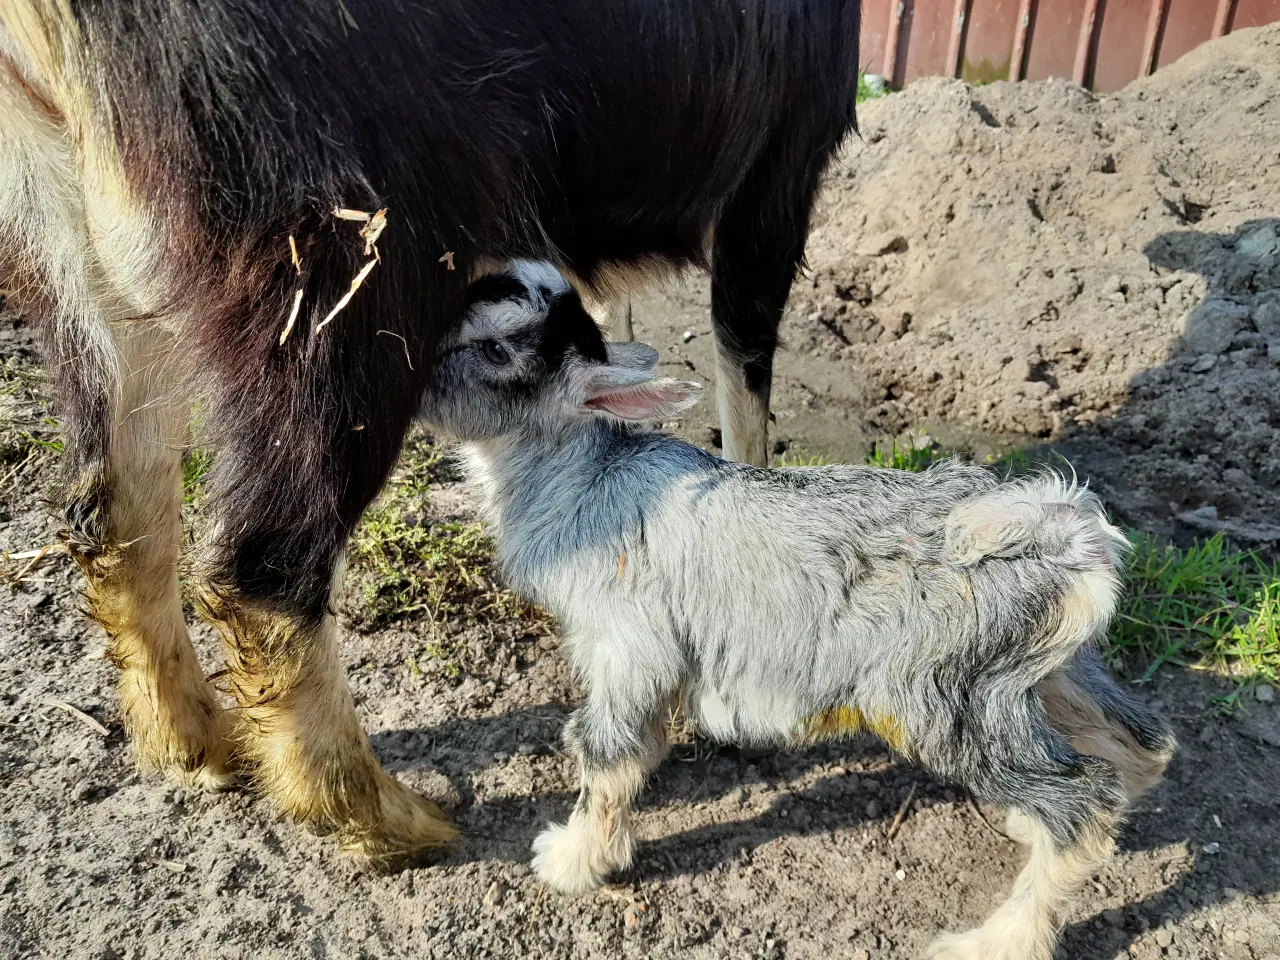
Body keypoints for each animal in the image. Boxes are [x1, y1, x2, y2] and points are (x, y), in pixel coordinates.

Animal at [2, 0, 860, 855]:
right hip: (340, 269)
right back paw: (399, 822)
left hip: (74, 245)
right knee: (262, 565)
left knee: (113, 510)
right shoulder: (781, 163)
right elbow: (746, 374)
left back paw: (199, 747)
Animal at [417, 263, 1172, 960]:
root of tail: (1069, 530)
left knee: (1082, 804)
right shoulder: (650, 659)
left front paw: (571, 861)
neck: (580, 476)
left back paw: (995, 941)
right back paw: (1045, 824)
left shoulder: (629, 645)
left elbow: (603, 753)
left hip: (943, 700)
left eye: (497, 348)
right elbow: (639, 744)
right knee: (1138, 746)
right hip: (1042, 673)